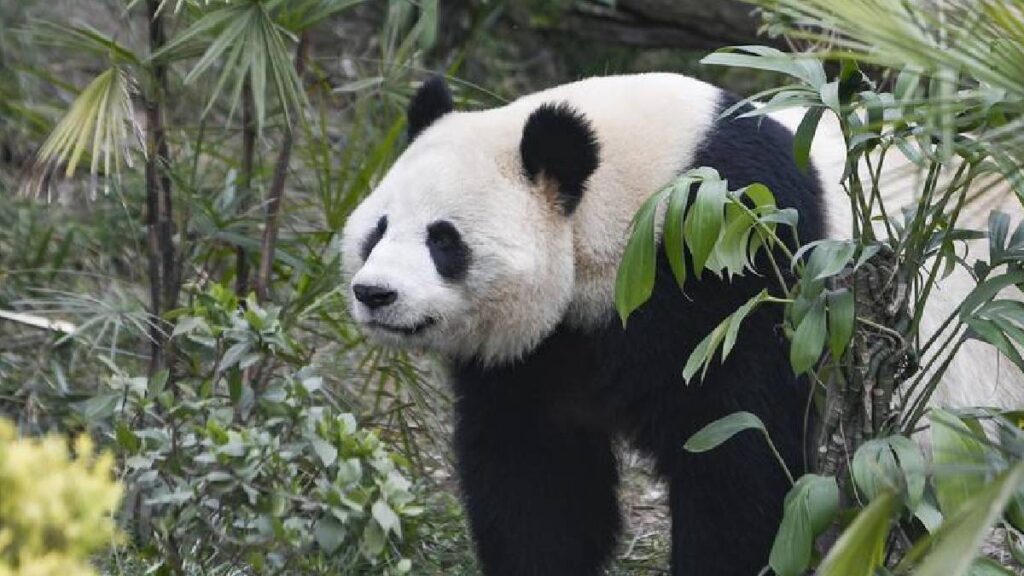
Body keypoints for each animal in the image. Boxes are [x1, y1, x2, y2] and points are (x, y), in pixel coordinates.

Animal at [341, 73, 1022, 576]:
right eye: (378, 228)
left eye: (443, 240)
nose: (375, 293)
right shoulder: (548, 349)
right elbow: (537, 466)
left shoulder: (729, 258)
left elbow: (737, 451)